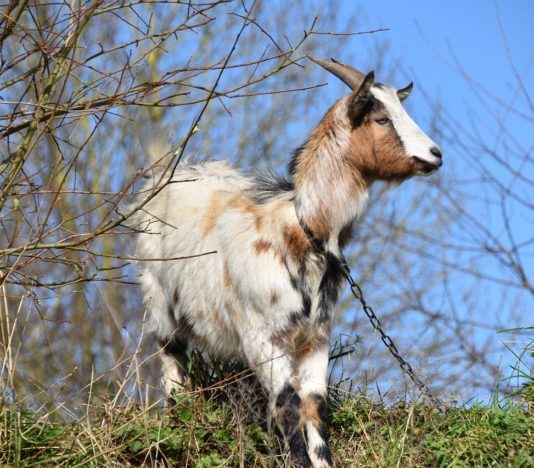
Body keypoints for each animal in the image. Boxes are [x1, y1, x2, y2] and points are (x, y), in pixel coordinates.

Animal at [133, 58, 444, 468]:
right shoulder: (261, 338)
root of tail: (167, 174)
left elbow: (314, 406)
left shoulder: (315, 338)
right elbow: (287, 405)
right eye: (380, 118)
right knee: (172, 363)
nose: (436, 154)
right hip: (158, 300)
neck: (300, 231)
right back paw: (173, 425)